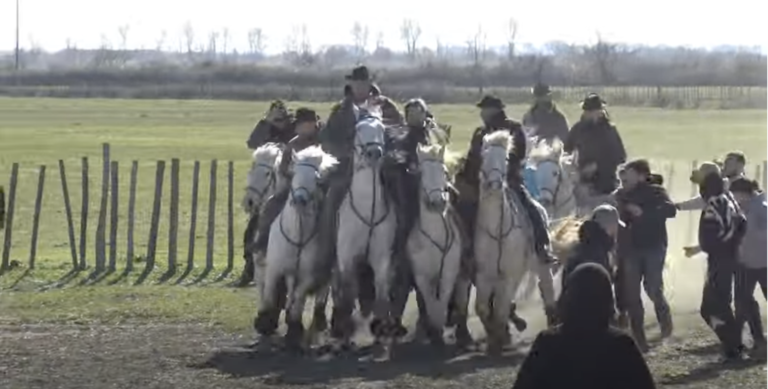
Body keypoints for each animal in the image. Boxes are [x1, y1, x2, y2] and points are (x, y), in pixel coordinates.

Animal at [255, 146, 336, 352]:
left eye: (317, 178)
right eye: (294, 174)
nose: (299, 200)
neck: (297, 234)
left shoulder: (308, 276)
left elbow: (299, 298)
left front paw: (294, 330)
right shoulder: (275, 269)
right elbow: (270, 293)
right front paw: (265, 322)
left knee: (318, 296)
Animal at [334, 109, 396, 354]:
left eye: (381, 129)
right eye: (358, 129)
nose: (374, 153)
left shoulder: (381, 260)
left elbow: (381, 295)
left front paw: (379, 333)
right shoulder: (347, 259)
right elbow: (348, 295)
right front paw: (345, 337)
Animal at [408, 144, 462, 348]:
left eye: (444, 171)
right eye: (421, 173)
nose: (438, 202)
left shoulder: (448, 273)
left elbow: (442, 301)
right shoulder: (422, 277)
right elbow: (430, 303)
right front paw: (433, 330)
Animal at [474, 130, 552, 354]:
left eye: (506, 158)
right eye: (484, 154)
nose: (494, 184)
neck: (497, 230)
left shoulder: (508, 277)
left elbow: (500, 310)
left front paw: (499, 340)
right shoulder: (484, 275)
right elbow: (483, 308)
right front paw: (494, 338)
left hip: (540, 265)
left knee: (547, 288)